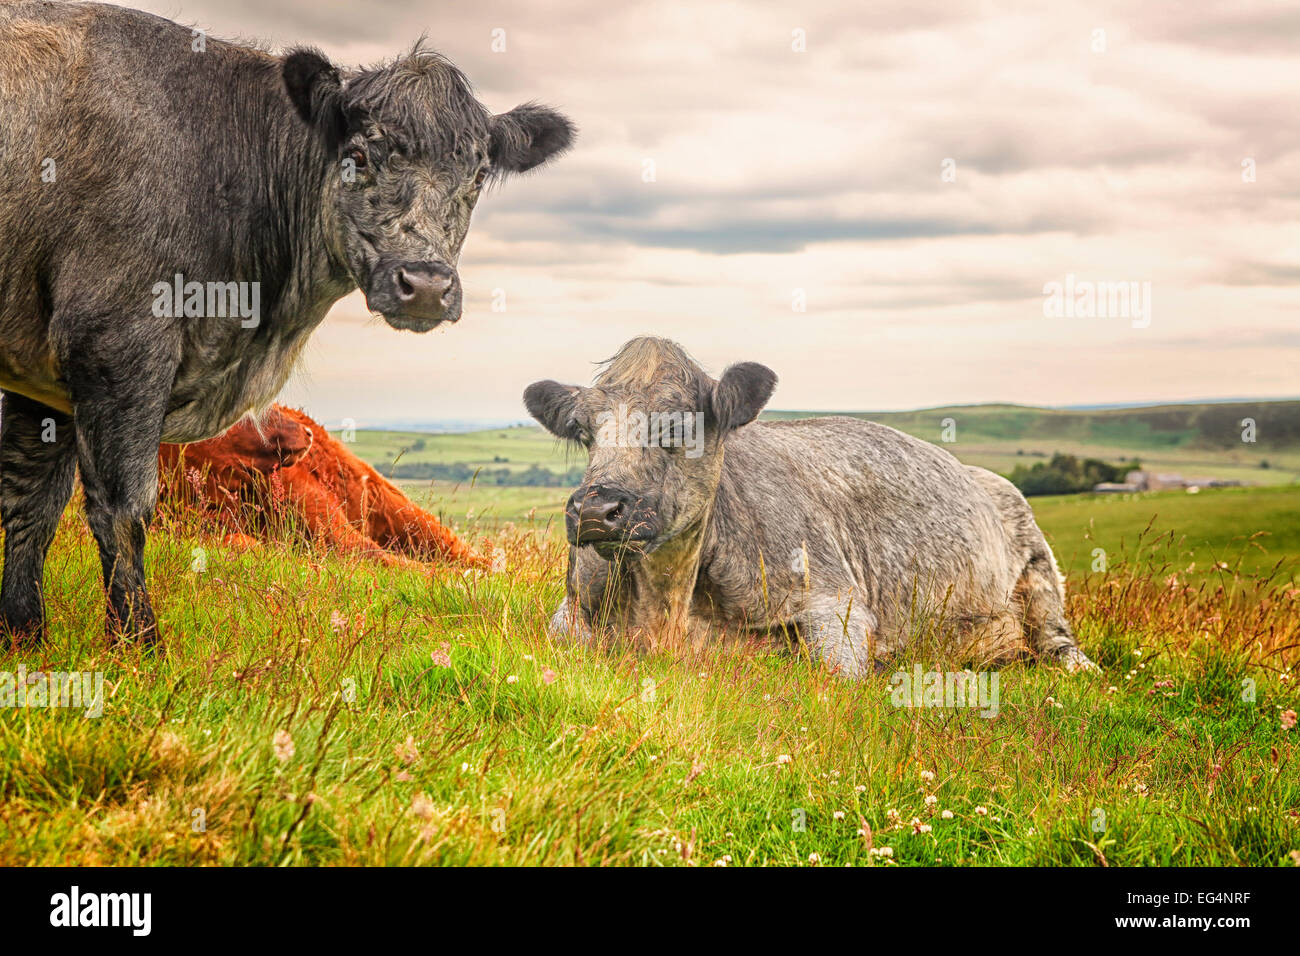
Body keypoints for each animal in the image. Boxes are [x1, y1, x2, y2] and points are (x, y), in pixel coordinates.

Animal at [522, 340, 1092, 676]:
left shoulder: (836, 602)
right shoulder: (572, 609)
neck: (667, 607)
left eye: (678, 426)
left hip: (1040, 572)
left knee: (1058, 642)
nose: (596, 509)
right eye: (583, 432)